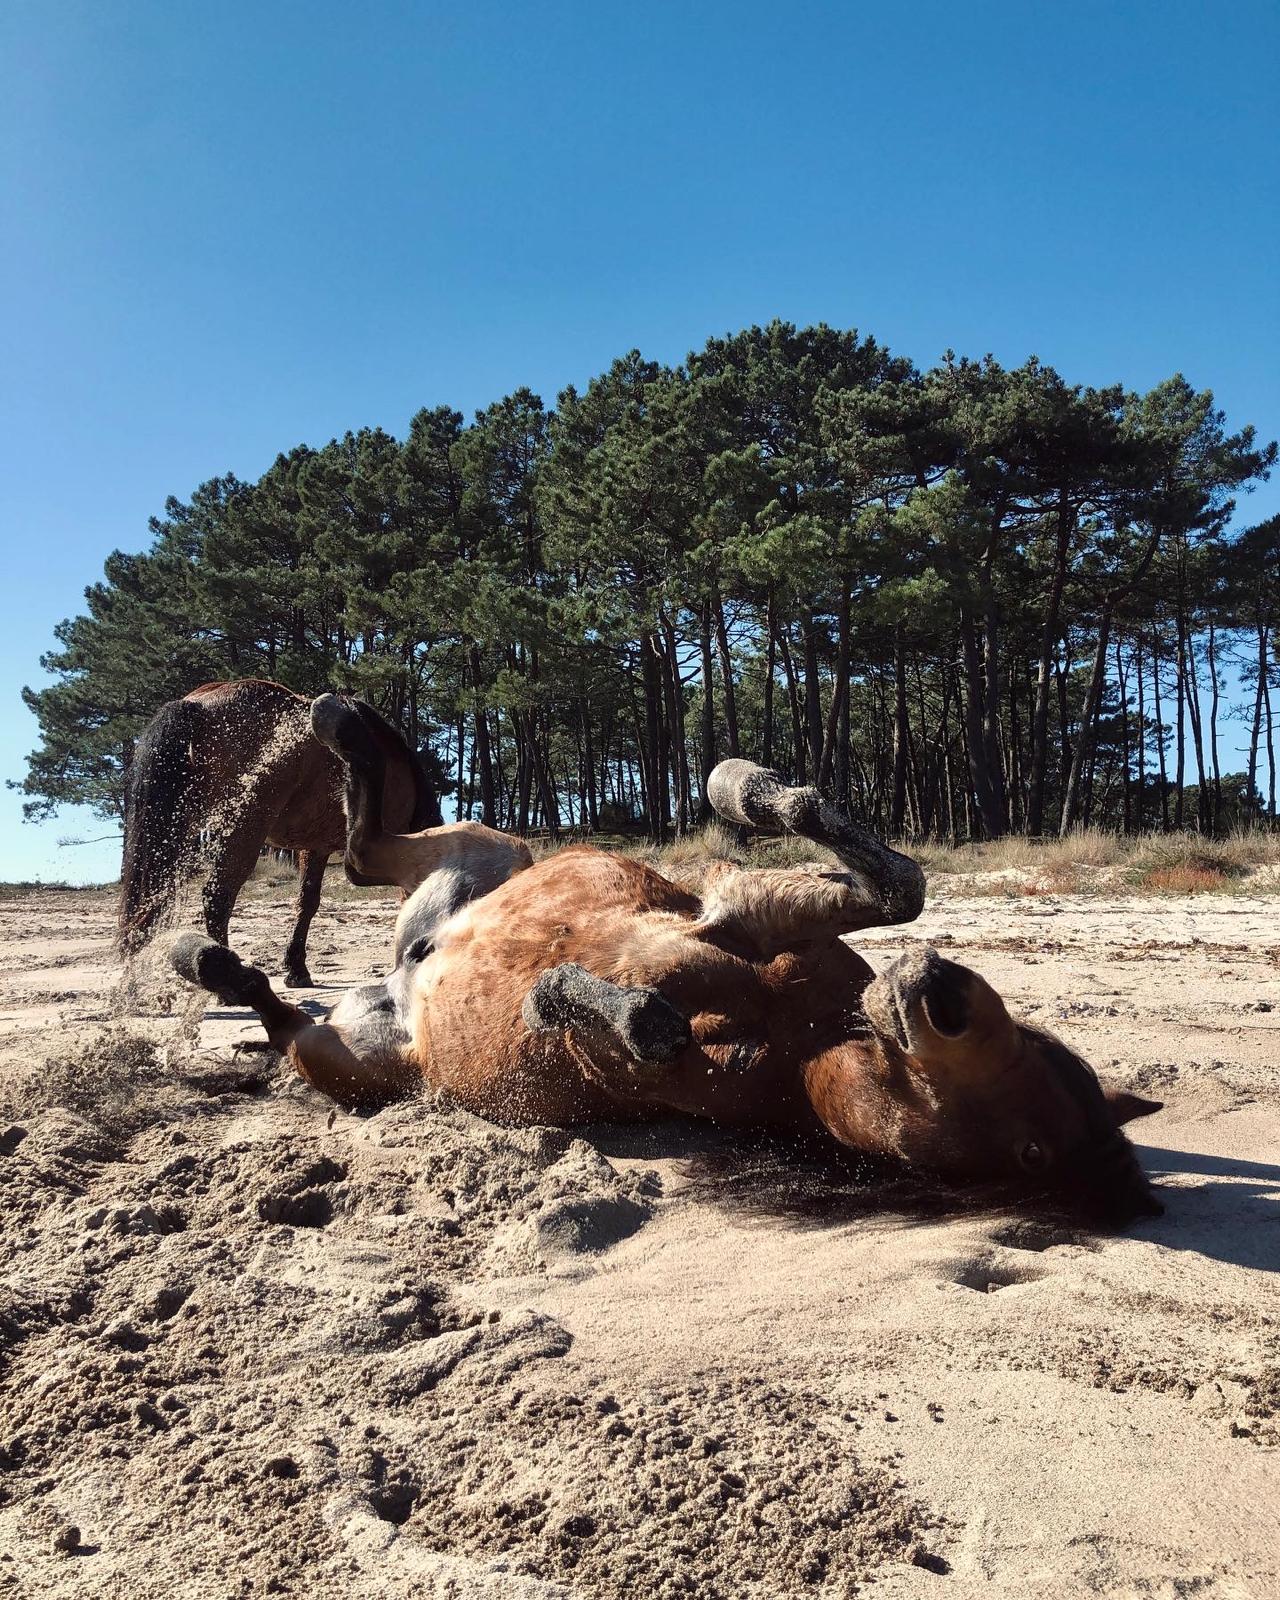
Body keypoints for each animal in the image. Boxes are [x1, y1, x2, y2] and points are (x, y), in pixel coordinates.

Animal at [120, 679, 440, 986]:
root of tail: (197, 705)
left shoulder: (316, 848)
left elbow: (307, 902)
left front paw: (296, 968)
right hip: (243, 830)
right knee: (218, 896)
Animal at [170, 694, 1163, 1225]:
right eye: (1041, 1046)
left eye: (1030, 1150)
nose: (938, 990)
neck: (802, 1030)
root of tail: (402, 987)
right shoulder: (747, 918)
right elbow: (896, 885)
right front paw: (743, 787)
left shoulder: (648, 1050)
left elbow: (634, 1020)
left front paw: (565, 995)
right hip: (478, 850)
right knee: (360, 854)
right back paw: (334, 730)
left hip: (346, 1061)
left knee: (295, 989)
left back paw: (207, 958)